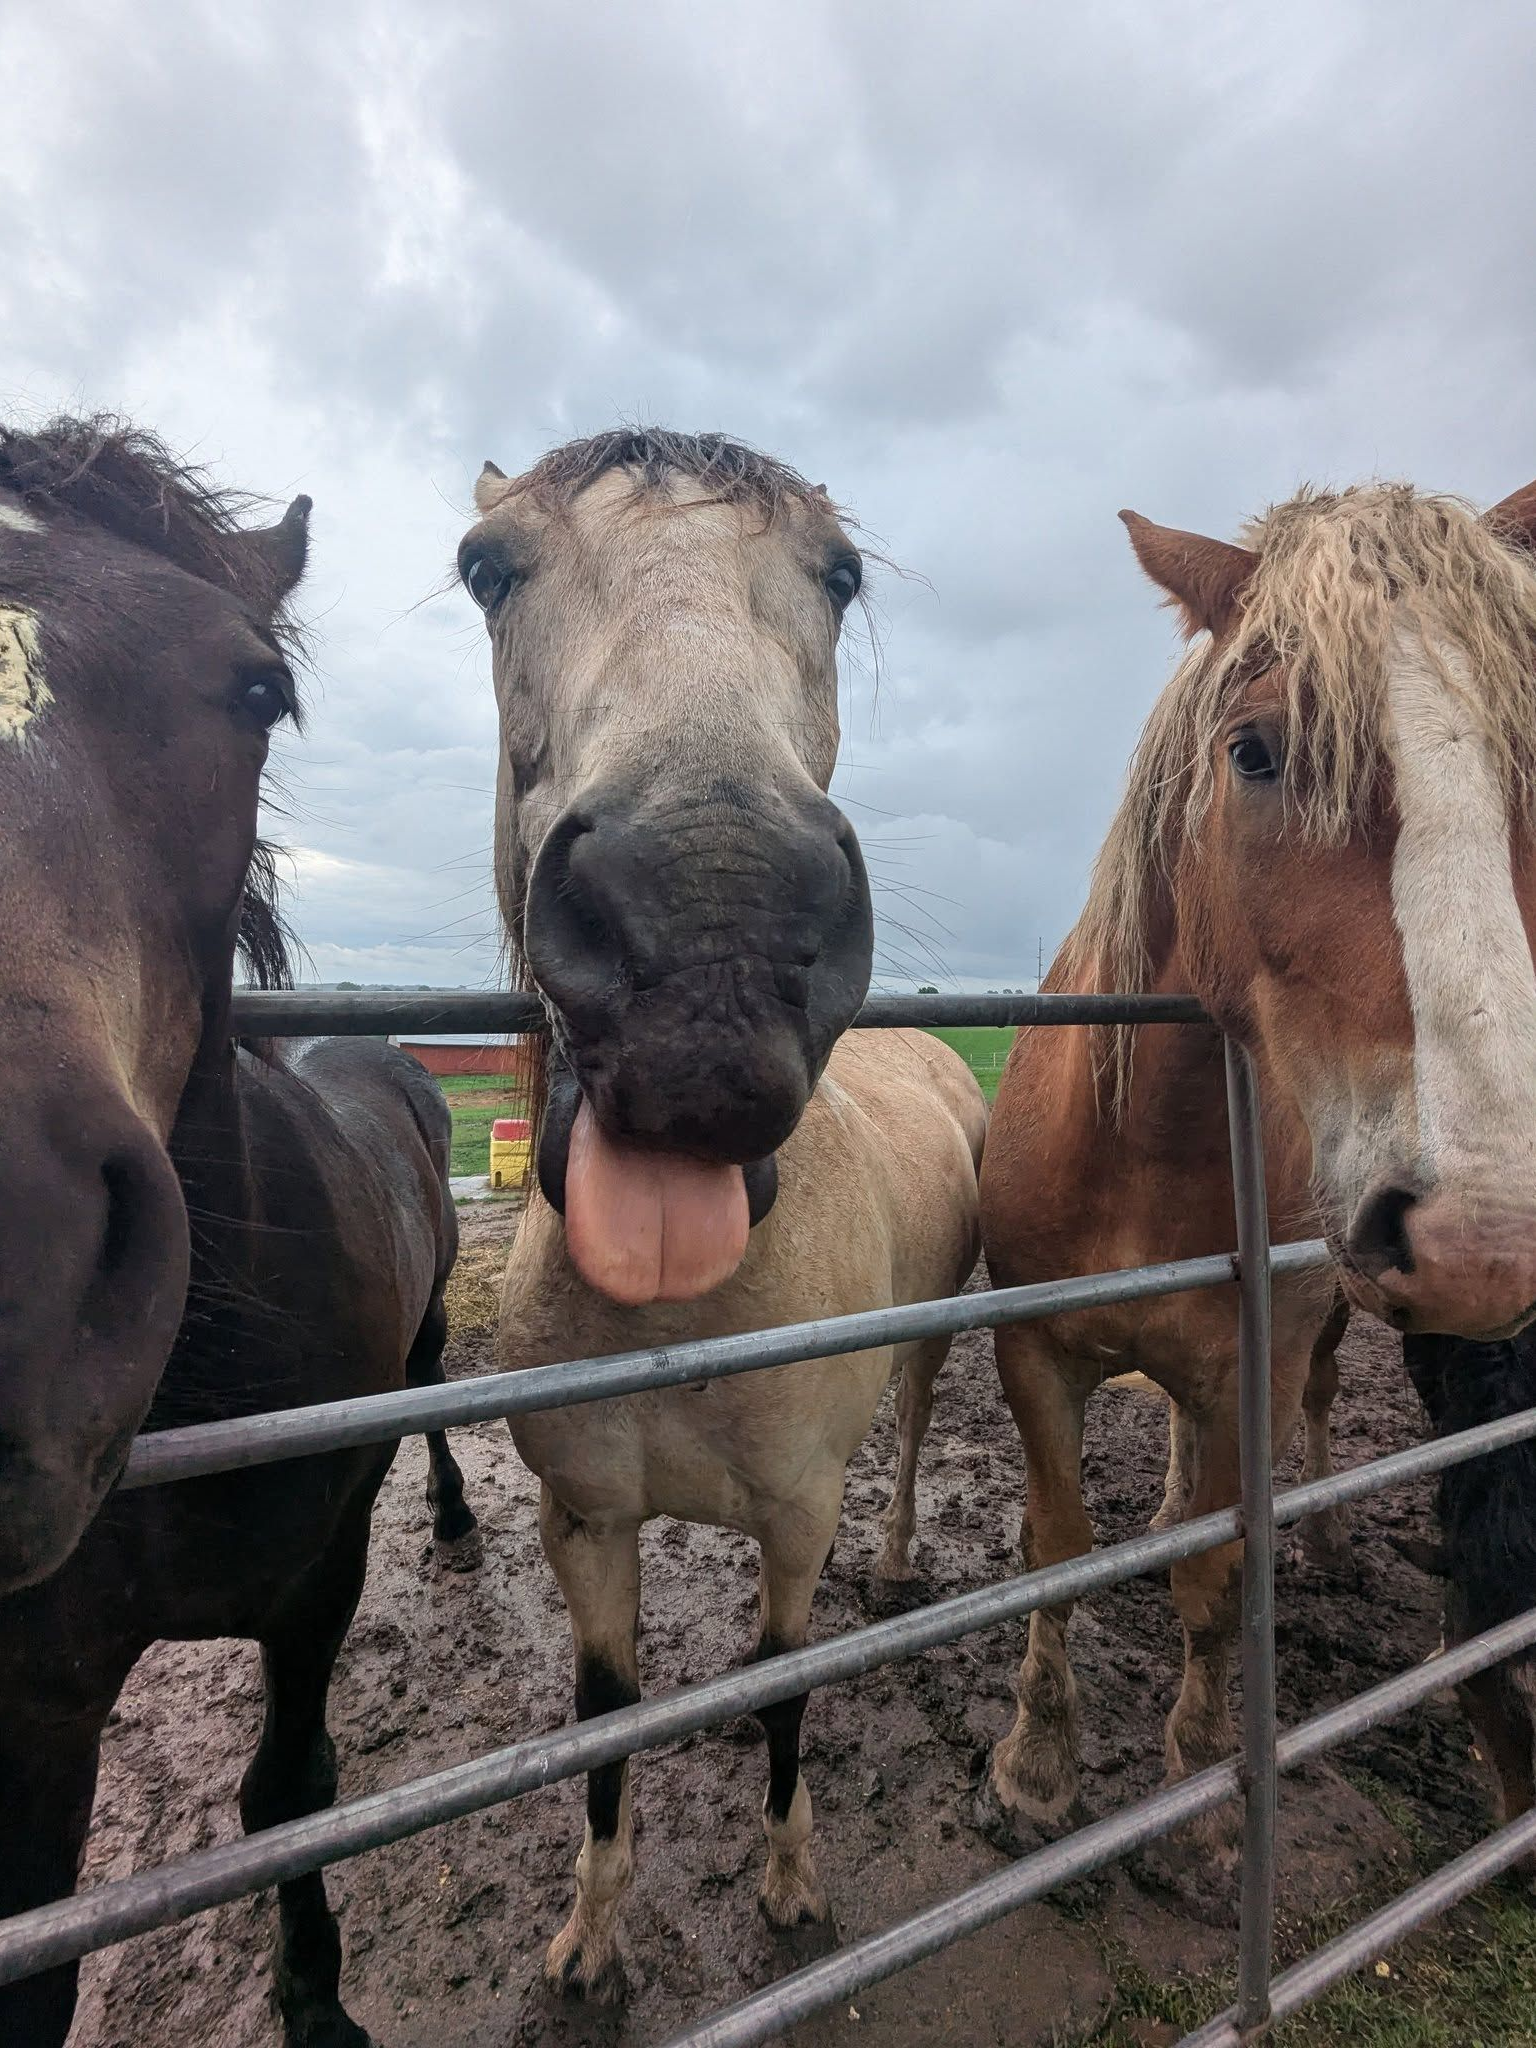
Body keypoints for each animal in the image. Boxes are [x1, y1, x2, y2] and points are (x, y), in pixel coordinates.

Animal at [0, 417, 480, 2048]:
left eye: (257, 689)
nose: (19, 1262)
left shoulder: (316, 1579)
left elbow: (289, 1794)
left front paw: (317, 1999)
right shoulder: (39, 1702)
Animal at [456, 430, 986, 1999]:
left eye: (841, 572)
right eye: (487, 569)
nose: (714, 928)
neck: (688, 1313)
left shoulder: (798, 1519)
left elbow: (787, 1696)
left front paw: (793, 1882)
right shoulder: (585, 1525)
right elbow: (607, 1716)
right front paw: (591, 1934)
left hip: (931, 1350)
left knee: (916, 1426)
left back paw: (900, 1561)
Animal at [979, 475, 1536, 1876]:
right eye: (1254, 752)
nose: (1486, 1237)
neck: (1144, 1150)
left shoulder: (1258, 1370)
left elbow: (1220, 1577)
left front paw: (1206, 1787)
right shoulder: (1034, 1354)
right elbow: (1056, 1544)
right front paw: (1036, 1764)